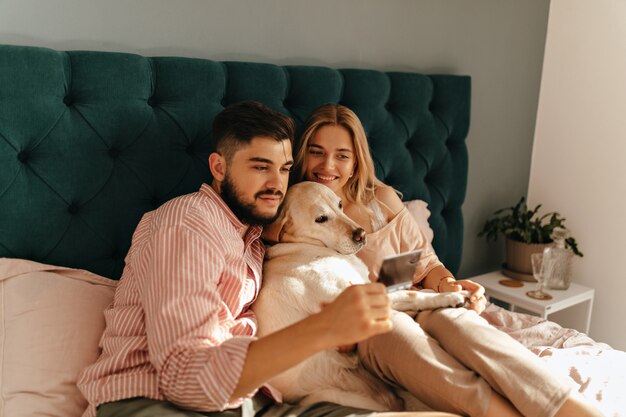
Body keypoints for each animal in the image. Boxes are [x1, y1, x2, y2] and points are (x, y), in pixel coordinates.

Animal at [251, 181, 466, 410]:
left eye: (340, 204)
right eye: (321, 219)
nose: (361, 235)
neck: (306, 247)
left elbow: (409, 293)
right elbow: (413, 295)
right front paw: (451, 297)